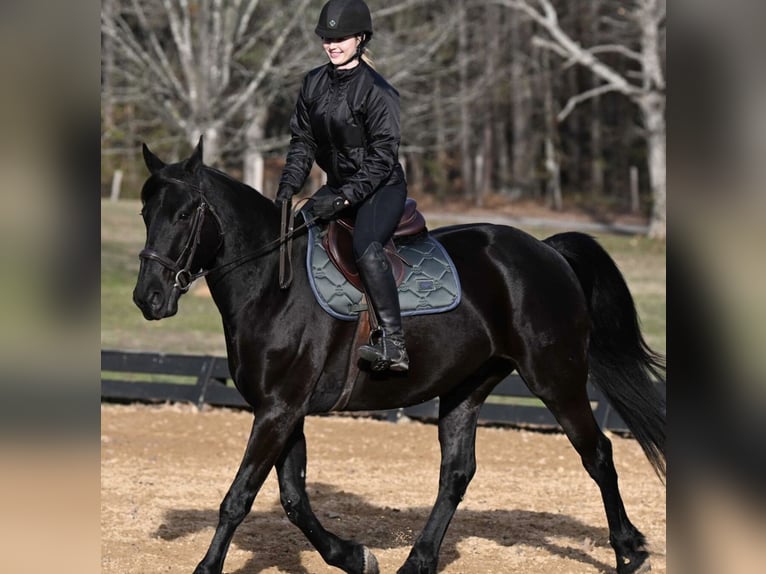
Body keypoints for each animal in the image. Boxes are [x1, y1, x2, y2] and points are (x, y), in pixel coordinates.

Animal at [133, 138, 665, 574]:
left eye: (185, 214)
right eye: (145, 214)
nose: (148, 297)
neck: (271, 284)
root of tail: (546, 250)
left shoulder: (278, 410)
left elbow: (239, 497)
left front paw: (207, 568)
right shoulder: (283, 410)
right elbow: (293, 498)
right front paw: (354, 556)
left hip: (556, 378)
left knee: (597, 454)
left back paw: (629, 551)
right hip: (466, 388)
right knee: (456, 474)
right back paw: (419, 561)